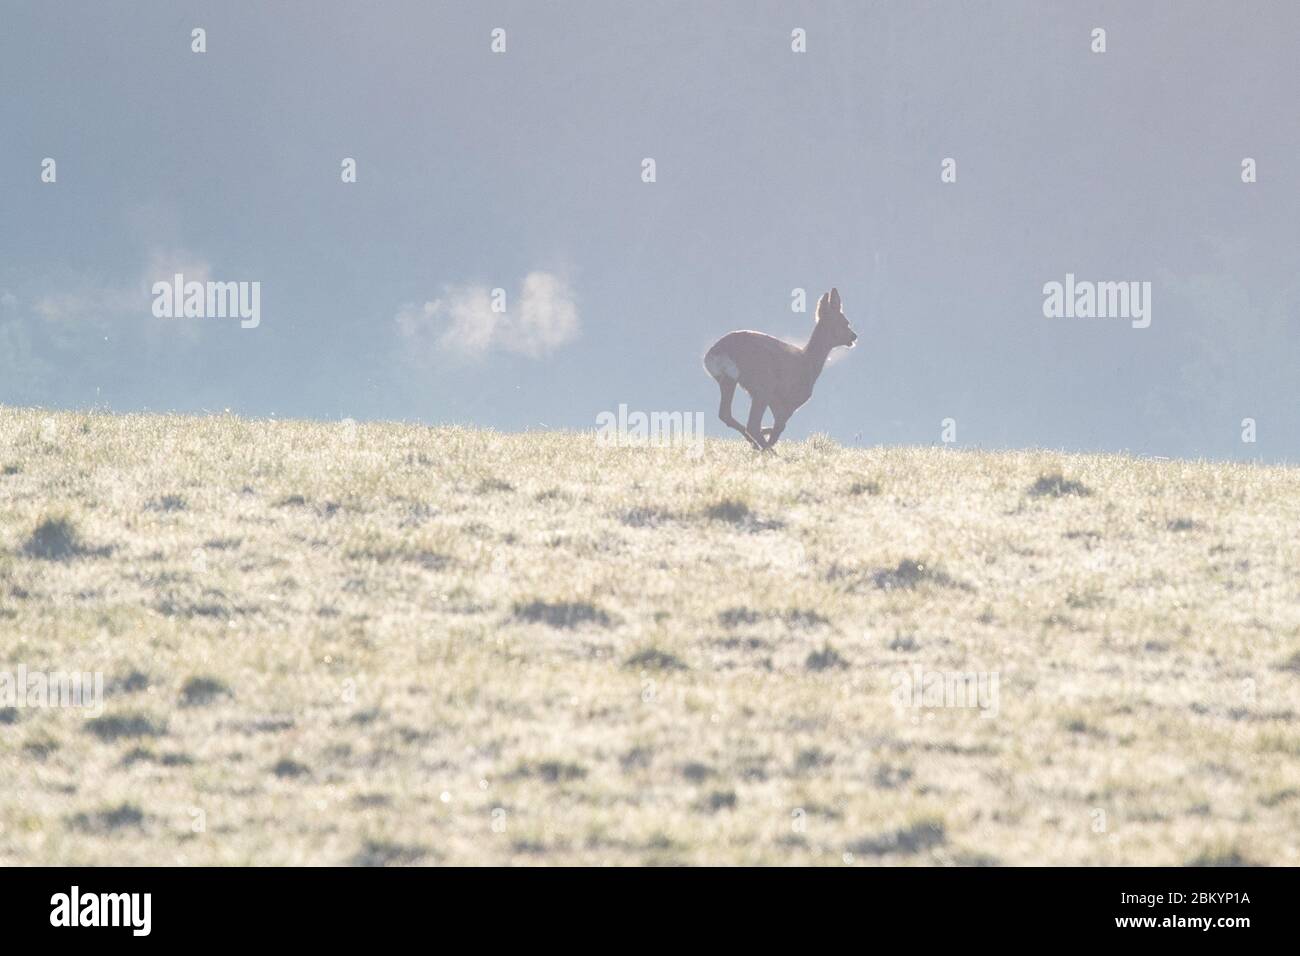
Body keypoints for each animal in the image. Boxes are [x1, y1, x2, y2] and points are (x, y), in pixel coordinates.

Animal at [707, 286, 857, 450]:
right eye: (845, 322)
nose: (854, 336)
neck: (809, 362)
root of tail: (713, 354)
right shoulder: (789, 402)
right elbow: (779, 428)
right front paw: (767, 440)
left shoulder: (776, 402)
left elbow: (779, 428)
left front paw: (764, 436)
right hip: (763, 385)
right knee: (752, 425)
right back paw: (766, 449)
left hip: (730, 381)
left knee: (726, 414)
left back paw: (756, 444)